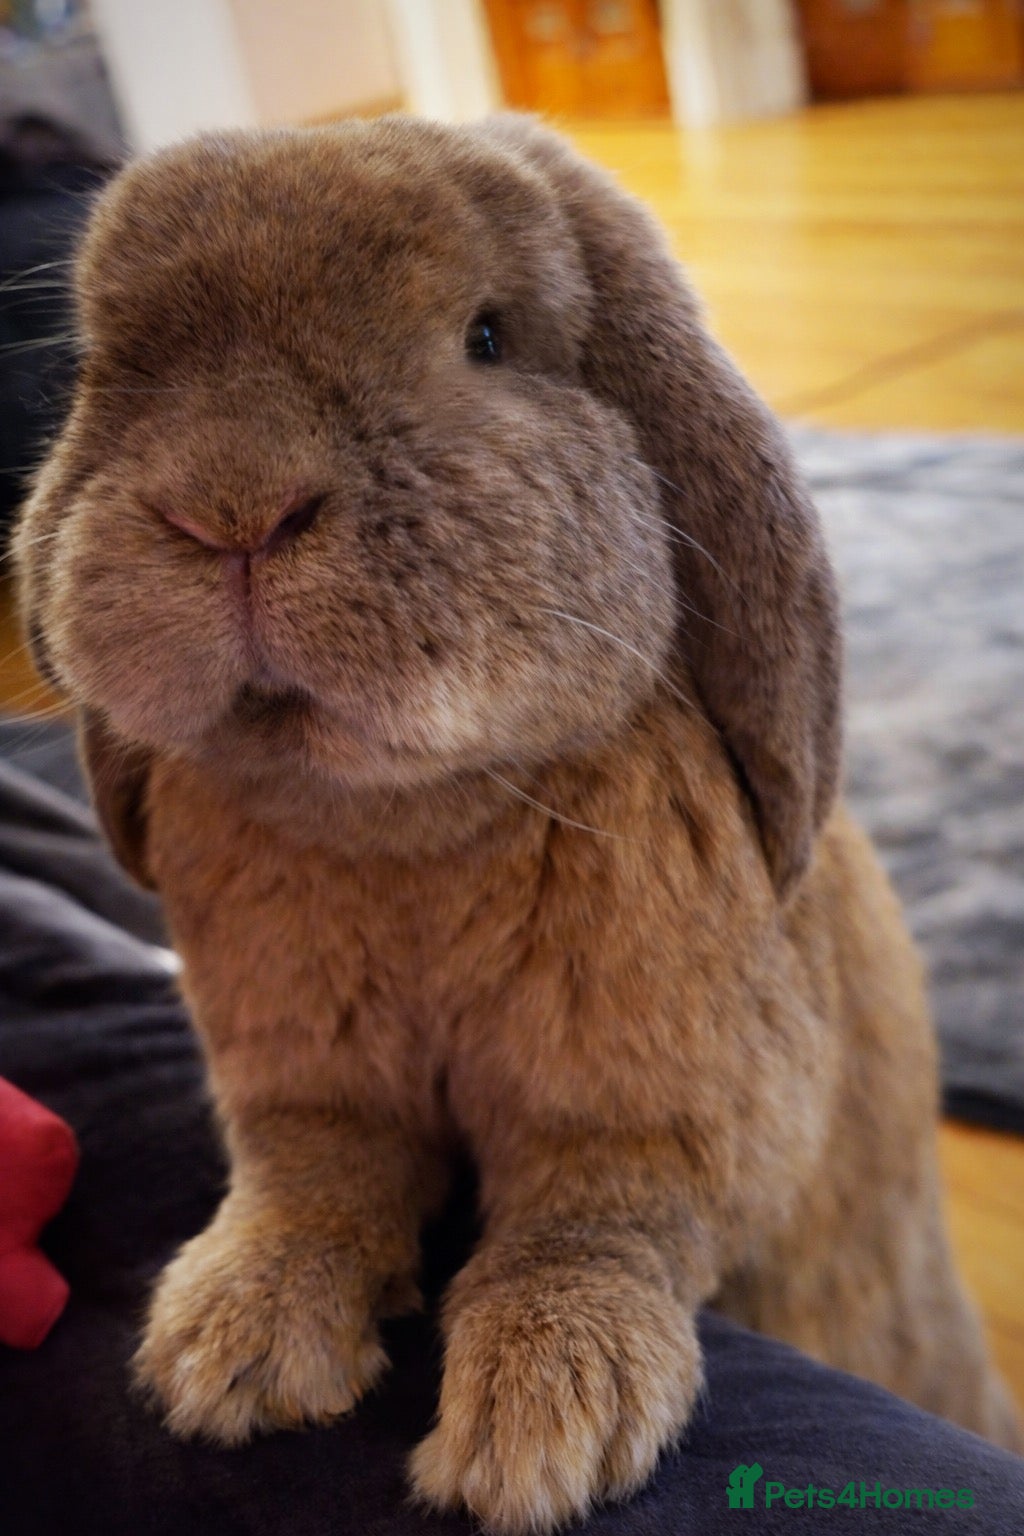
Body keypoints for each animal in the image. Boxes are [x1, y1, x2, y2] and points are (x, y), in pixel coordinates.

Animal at [14, 114, 1020, 1533]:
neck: (398, 825)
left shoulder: (661, 1097)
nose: (230, 506)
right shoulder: (301, 1077)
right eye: (109, 366)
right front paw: (229, 1349)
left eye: (485, 338)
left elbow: (596, 1220)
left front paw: (546, 1423)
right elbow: (306, 1182)